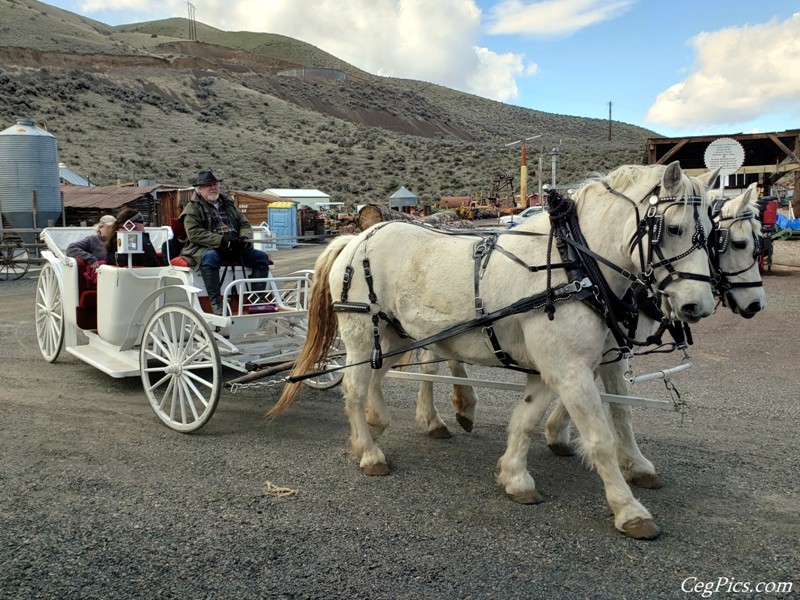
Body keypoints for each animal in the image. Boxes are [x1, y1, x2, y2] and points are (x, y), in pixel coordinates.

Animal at [272, 162, 716, 540]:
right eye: (673, 227)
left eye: (712, 233)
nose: (699, 305)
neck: (575, 264)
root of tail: (355, 237)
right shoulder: (569, 369)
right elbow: (600, 437)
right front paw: (629, 509)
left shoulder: (560, 366)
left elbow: (530, 419)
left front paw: (515, 476)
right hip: (365, 334)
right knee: (354, 388)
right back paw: (369, 452)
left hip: (397, 336)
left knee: (375, 379)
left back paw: (381, 423)